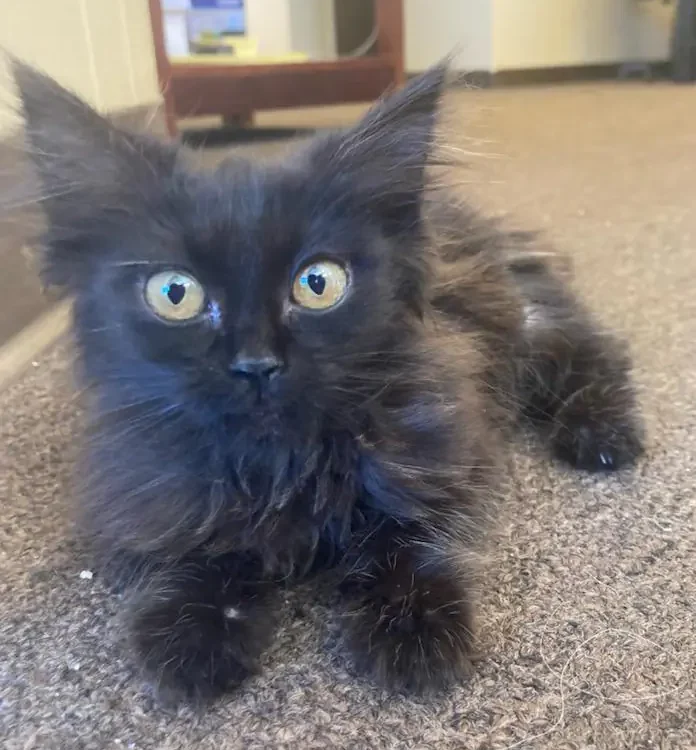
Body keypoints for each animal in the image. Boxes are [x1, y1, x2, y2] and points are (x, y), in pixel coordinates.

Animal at [12, 61, 640, 708]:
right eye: (175, 293)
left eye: (318, 283)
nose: (257, 363)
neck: (280, 462)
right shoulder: (146, 485)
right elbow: (191, 550)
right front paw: (192, 638)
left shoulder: (439, 444)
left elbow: (408, 534)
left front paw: (415, 630)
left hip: (523, 320)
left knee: (594, 351)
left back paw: (603, 436)